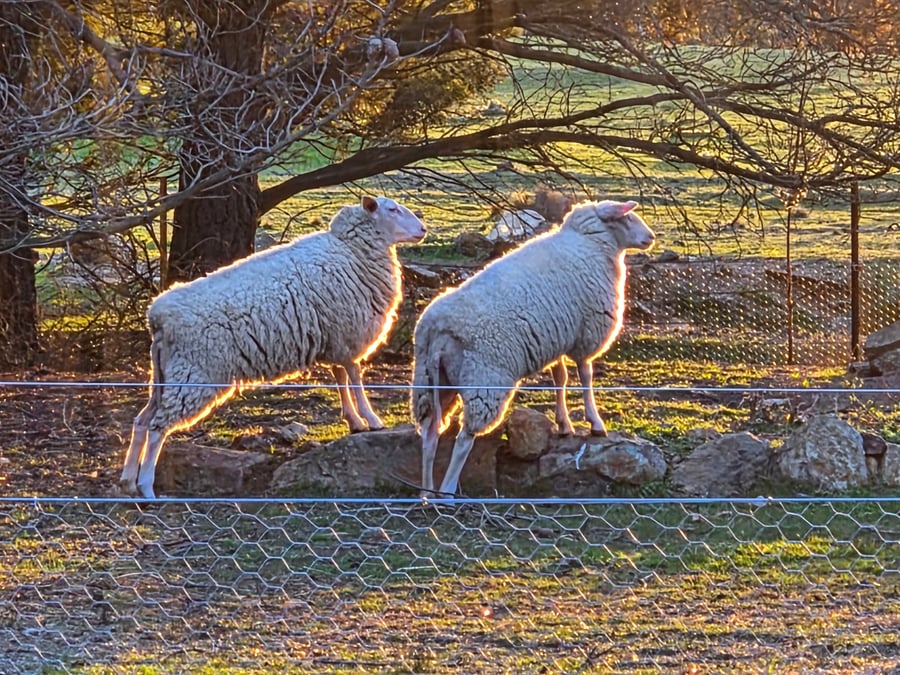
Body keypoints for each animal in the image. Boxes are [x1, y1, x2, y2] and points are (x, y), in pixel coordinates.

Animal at [120, 195, 427, 499]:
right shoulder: (348, 336)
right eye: (392, 209)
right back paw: (146, 487)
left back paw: (128, 481)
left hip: (165, 376)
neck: (352, 250)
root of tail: (158, 316)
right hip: (193, 377)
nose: (423, 229)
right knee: (158, 427)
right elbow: (354, 378)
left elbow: (340, 378)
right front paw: (371, 419)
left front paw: (354, 420)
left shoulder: (336, 339)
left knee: (142, 421)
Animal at [412, 199, 655, 497]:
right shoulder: (586, 332)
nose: (650, 237)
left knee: (429, 433)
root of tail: (437, 327)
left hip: (431, 381)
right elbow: (585, 376)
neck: (594, 243)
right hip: (485, 380)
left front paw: (564, 424)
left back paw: (427, 492)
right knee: (463, 439)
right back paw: (447, 492)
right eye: (628, 218)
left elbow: (560, 378)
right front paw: (595, 423)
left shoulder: (557, 336)